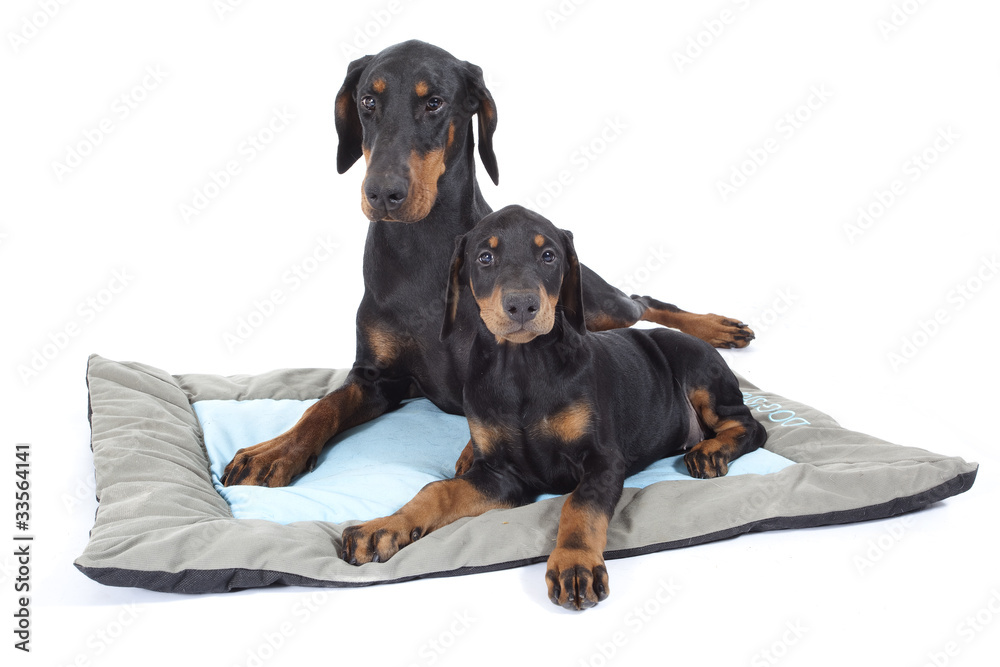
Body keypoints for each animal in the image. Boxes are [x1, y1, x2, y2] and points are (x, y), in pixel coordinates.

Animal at [219, 41, 752, 490]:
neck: (421, 251)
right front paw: (276, 451)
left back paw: (718, 327)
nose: (382, 193)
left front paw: (470, 454)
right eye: (368, 101)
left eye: (434, 103)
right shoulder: (376, 378)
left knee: (640, 301)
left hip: (600, 306)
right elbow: (322, 407)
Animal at [340, 206, 768, 612]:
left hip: (699, 371)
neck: (521, 366)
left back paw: (710, 451)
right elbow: (436, 490)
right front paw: (382, 528)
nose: (522, 305)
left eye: (549, 255)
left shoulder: (603, 460)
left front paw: (574, 564)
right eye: (484, 257)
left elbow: (579, 506)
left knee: (751, 425)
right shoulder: (501, 474)